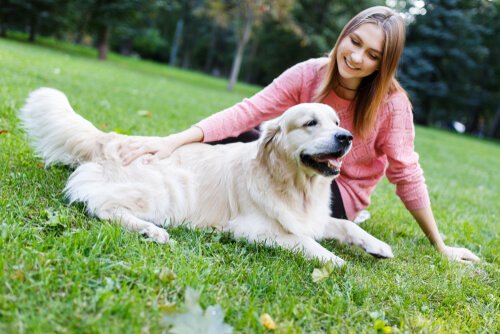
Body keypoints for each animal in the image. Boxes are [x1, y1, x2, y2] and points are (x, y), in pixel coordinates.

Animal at [20, 88, 394, 266]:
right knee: (99, 206)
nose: (346, 137)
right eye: (310, 123)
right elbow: (304, 241)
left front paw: (376, 246)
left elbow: (345, 225)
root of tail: (111, 138)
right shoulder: (251, 229)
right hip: (165, 192)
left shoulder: (313, 217)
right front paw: (335, 260)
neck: (295, 185)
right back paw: (151, 231)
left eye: (336, 122)